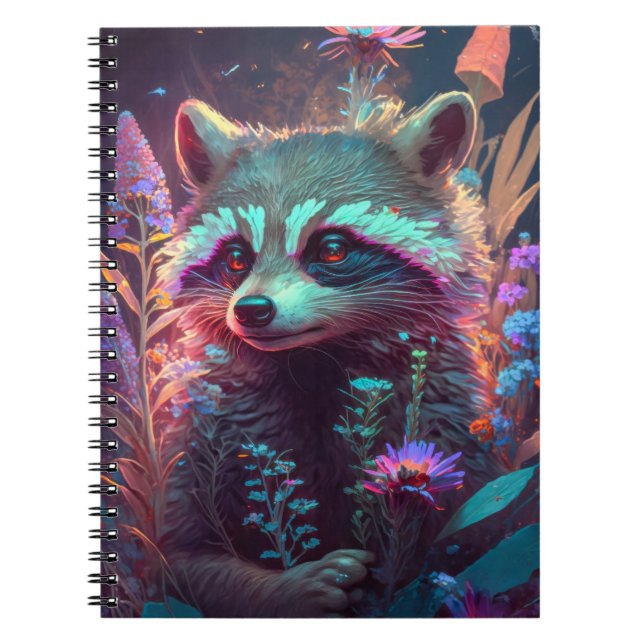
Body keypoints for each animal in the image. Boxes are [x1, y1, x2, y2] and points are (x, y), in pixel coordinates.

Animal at [158, 92, 505, 617]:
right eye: (237, 258)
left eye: (333, 249)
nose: (252, 310)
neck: (314, 358)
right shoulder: (206, 434)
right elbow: (180, 560)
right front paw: (283, 589)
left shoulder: (449, 422)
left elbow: (471, 538)